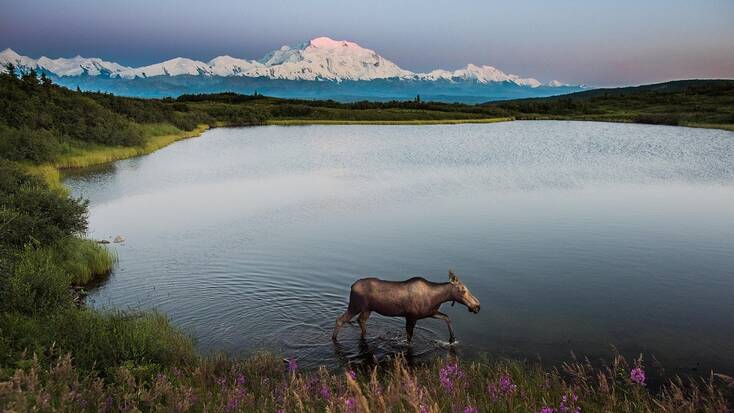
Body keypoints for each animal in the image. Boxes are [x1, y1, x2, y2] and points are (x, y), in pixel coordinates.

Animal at [334, 268, 484, 342]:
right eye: (463, 290)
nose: (477, 306)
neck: (437, 298)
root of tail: (352, 286)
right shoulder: (411, 317)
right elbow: (409, 338)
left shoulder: (430, 313)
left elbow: (447, 317)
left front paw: (452, 338)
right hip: (355, 305)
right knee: (340, 320)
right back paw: (334, 339)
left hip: (367, 309)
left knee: (360, 320)